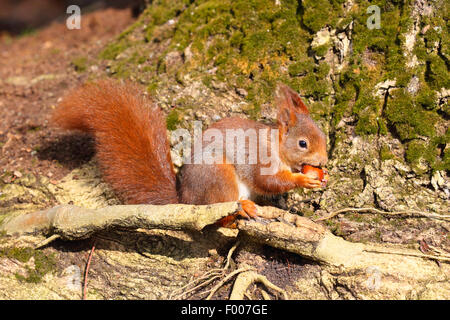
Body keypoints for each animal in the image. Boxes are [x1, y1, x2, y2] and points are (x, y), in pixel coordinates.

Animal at [51, 80, 326, 225]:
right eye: (303, 143)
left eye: (324, 136)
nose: (323, 161)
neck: (276, 146)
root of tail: (186, 200)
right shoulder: (259, 158)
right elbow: (268, 181)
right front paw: (303, 180)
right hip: (218, 175)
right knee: (220, 210)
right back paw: (242, 208)